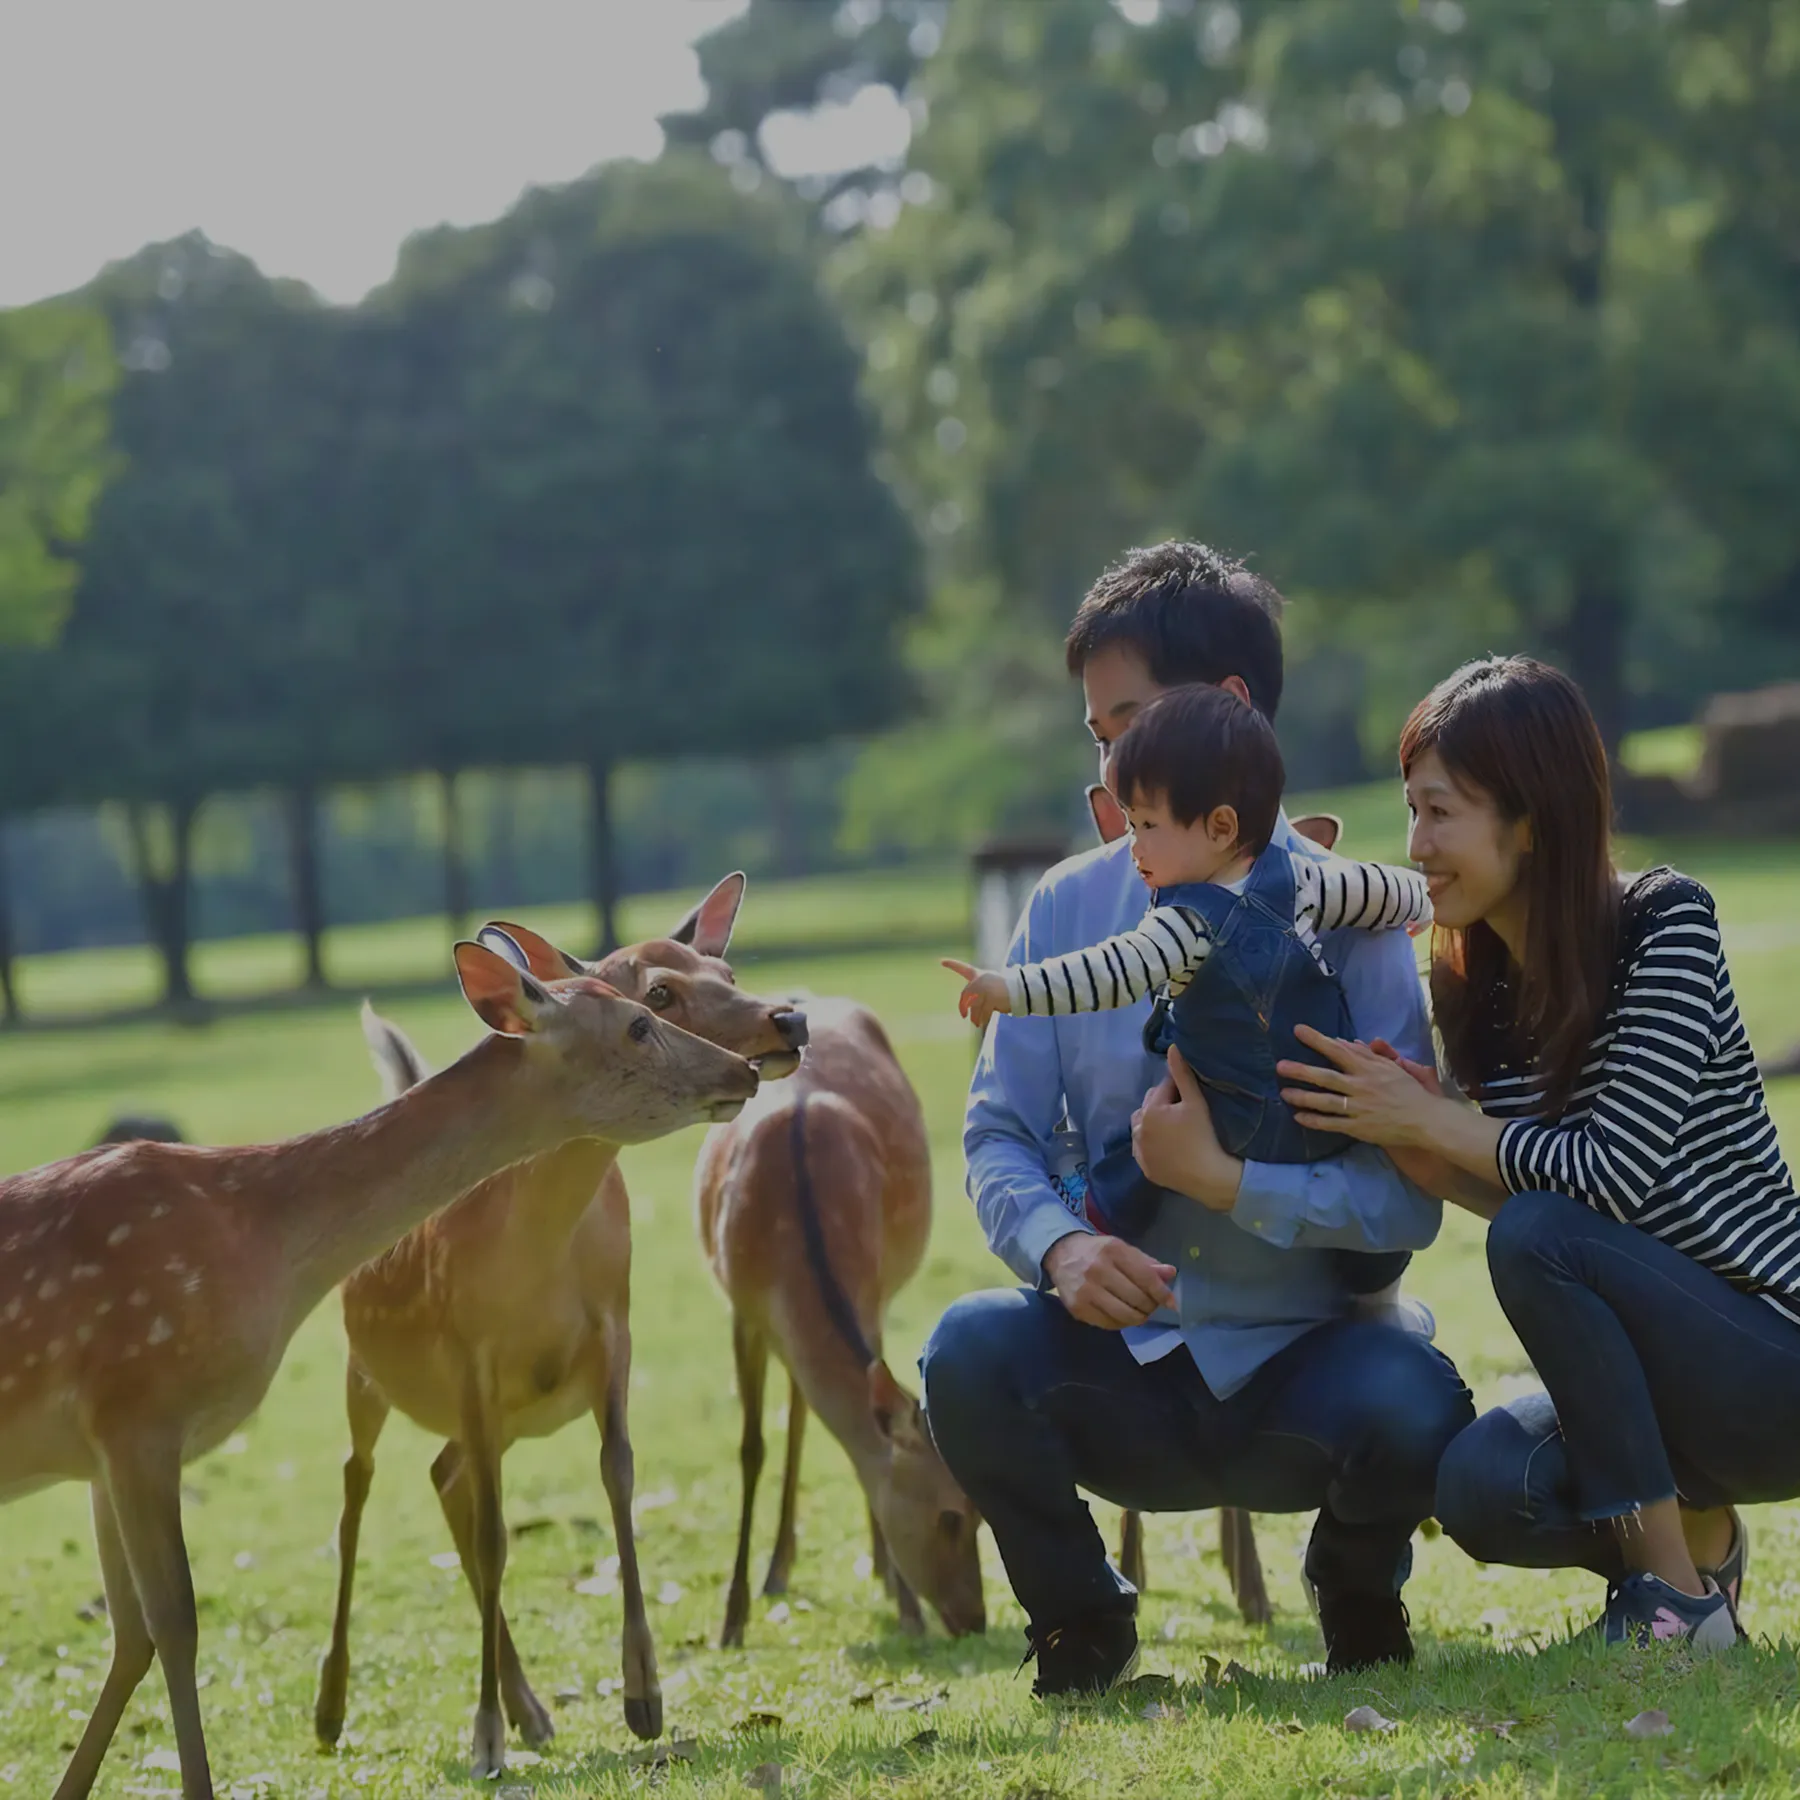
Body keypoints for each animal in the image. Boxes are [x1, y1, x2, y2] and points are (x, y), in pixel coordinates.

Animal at [0, 936, 752, 1800]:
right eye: (639, 1020)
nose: (744, 1069)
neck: (254, 1241)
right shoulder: (137, 1407)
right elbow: (177, 1622)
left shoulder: (101, 1449)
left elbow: (131, 1633)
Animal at [316, 871, 810, 1771]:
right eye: (656, 995)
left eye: (727, 970)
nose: (789, 1020)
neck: (537, 1252)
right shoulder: (467, 1349)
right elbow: (495, 1537)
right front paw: (482, 1734)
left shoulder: (614, 1327)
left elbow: (616, 1477)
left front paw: (644, 1697)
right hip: (364, 1373)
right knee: (356, 1489)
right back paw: (334, 1710)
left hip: (497, 1414)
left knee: (443, 1475)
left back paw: (532, 1711)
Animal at [698, 1000, 986, 1648]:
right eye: (952, 1514)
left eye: (981, 1512)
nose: (974, 1621)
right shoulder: (740, 1309)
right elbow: (751, 1448)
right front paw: (731, 1619)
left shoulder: (873, 1291)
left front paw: (907, 1609)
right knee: (797, 1414)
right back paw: (776, 1571)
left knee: (803, 1406)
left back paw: (870, 1570)